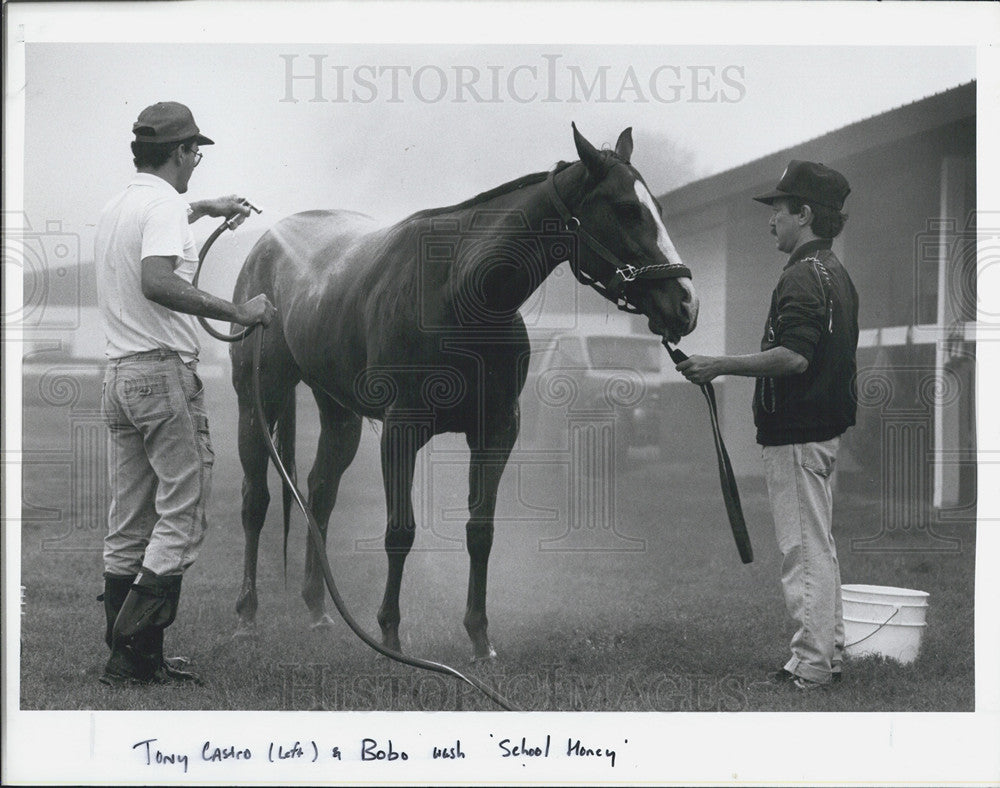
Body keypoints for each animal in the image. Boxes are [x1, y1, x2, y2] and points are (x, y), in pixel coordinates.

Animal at [230, 124, 700, 660]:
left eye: (656, 207)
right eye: (626, 209)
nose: (686, 305)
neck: (459, 292)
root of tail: (267, 245)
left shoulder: (496, 432)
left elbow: (481, 532)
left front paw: (479, 637)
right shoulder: (401, 430)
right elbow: (401, 531)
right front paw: (390, 634)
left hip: (339, 413)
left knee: (319, 492)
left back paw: (317, 608)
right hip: (258, 401)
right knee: (256, 499)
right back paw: (246, 616)